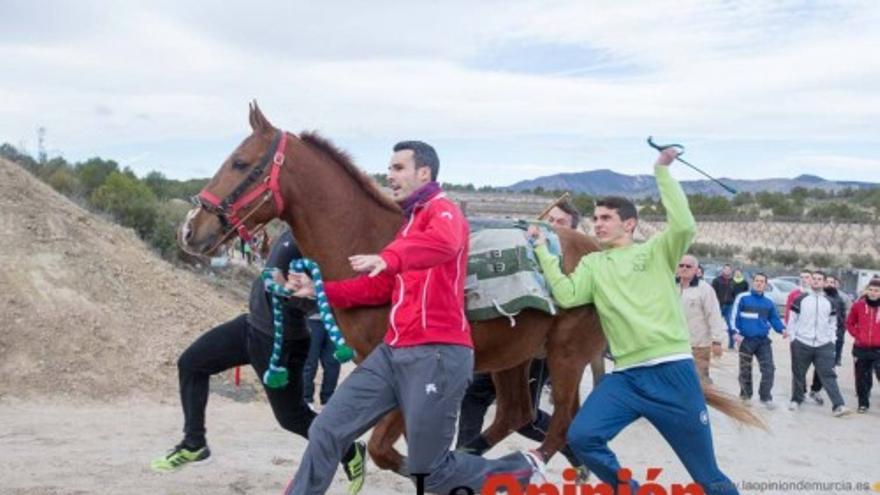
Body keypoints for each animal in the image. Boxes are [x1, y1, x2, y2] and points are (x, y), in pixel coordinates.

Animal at [180, 102, 764, 474]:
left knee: (560, 425)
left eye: (239, 161)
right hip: (514, 357)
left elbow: (389, 449)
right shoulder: (374, 366)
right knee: (517, 415)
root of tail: (604, 254)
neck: (377, 241)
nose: (192, 228)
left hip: (565, 356)